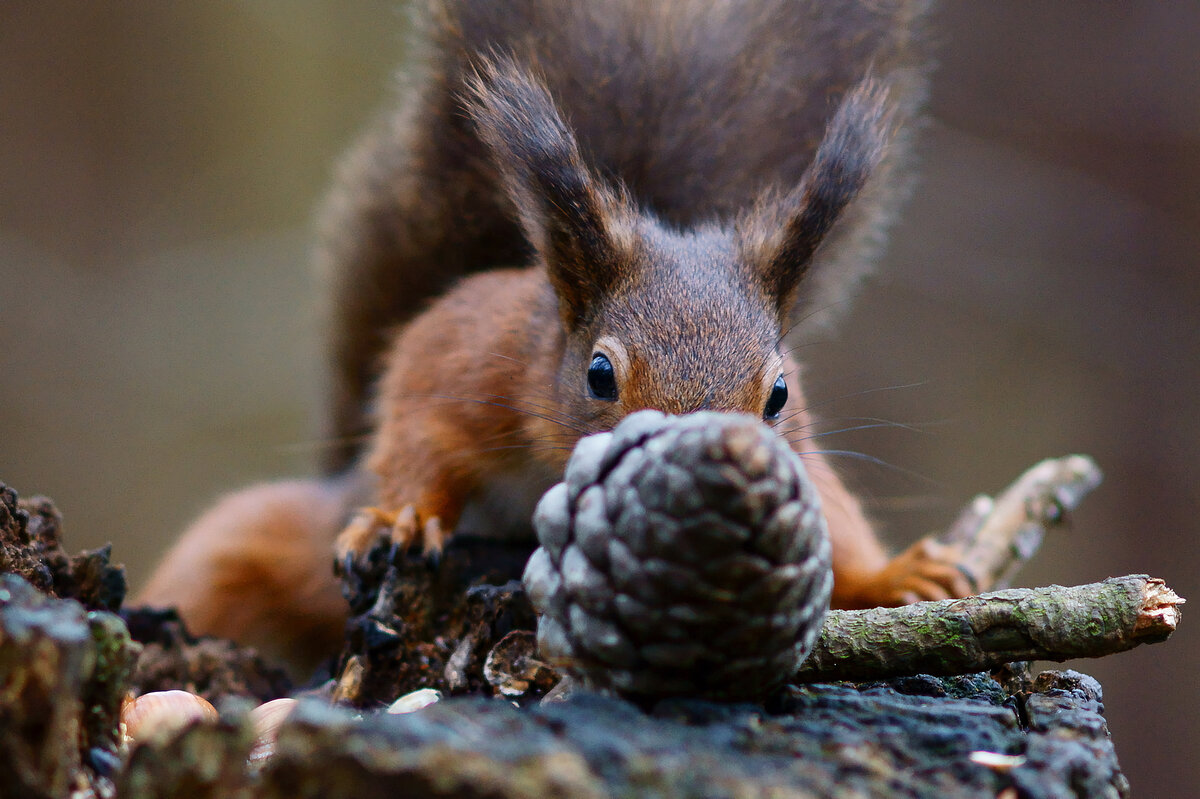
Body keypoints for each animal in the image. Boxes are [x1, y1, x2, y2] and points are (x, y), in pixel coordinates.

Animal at [138, 0, 964, 671]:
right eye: (599, 374)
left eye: (780, 392)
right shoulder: (468, 354)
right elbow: (417, 419)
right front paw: (404, 515)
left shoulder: (802, 452)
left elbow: (837, 516)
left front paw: (898, 575)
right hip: (272, 545)